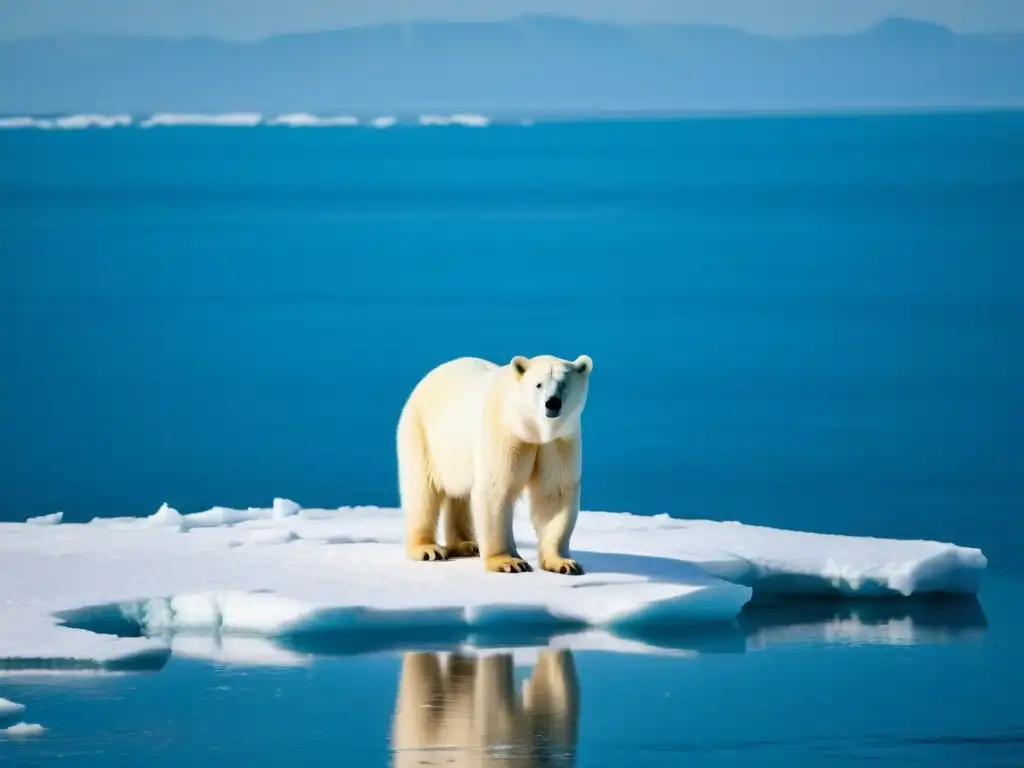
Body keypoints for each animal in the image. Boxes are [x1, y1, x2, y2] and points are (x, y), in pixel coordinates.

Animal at [397, 354, 593, 577]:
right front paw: (509, 562)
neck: (529, 428)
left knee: (460, 495)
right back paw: (428, 549)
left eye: (563, 383)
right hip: (423, 437)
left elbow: (554, 494)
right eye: (538, 384)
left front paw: (564, 563)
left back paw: (467, 544)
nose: (552, 403)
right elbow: (496, 489)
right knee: (422, 493)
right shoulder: (505, 434)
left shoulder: (558, 443)